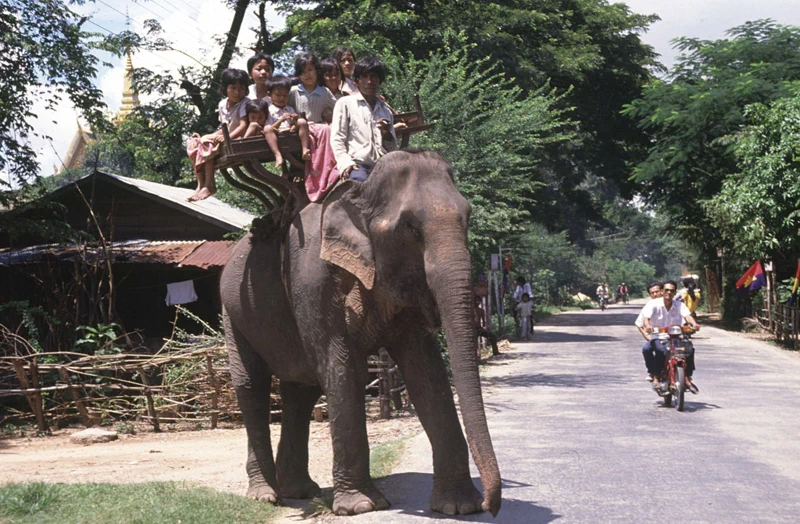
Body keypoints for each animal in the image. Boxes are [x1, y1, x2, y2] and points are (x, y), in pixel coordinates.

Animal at [219, 149, 500, 516]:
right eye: (410, 228)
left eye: (467, 217)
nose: (491, 506)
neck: (358, 194)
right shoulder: (312, 279)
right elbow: (342, 368)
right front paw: (360, 507)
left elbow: (426, 372)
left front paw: (460, 507)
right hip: (233, 311)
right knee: (253, 387)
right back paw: (266, 495)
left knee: (301, 390)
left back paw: (300, 490)